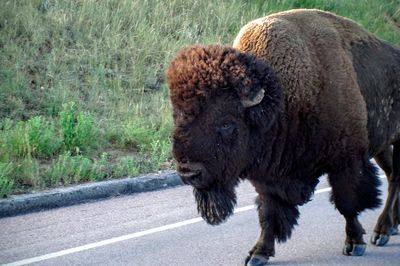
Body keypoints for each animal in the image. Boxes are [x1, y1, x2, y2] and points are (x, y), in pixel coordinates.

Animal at [166, 8, 400, 266]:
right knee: (393, 175)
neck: (281, 99)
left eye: (226, 123)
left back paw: (382, 231)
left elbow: (348, 203)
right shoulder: (268, 177)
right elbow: (269, 215)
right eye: (177, 117)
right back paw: (390, 228)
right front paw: (258, 254)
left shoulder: (346, 162)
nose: (189, 173)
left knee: (394, 177)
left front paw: (354, 243)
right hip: (382, 146)